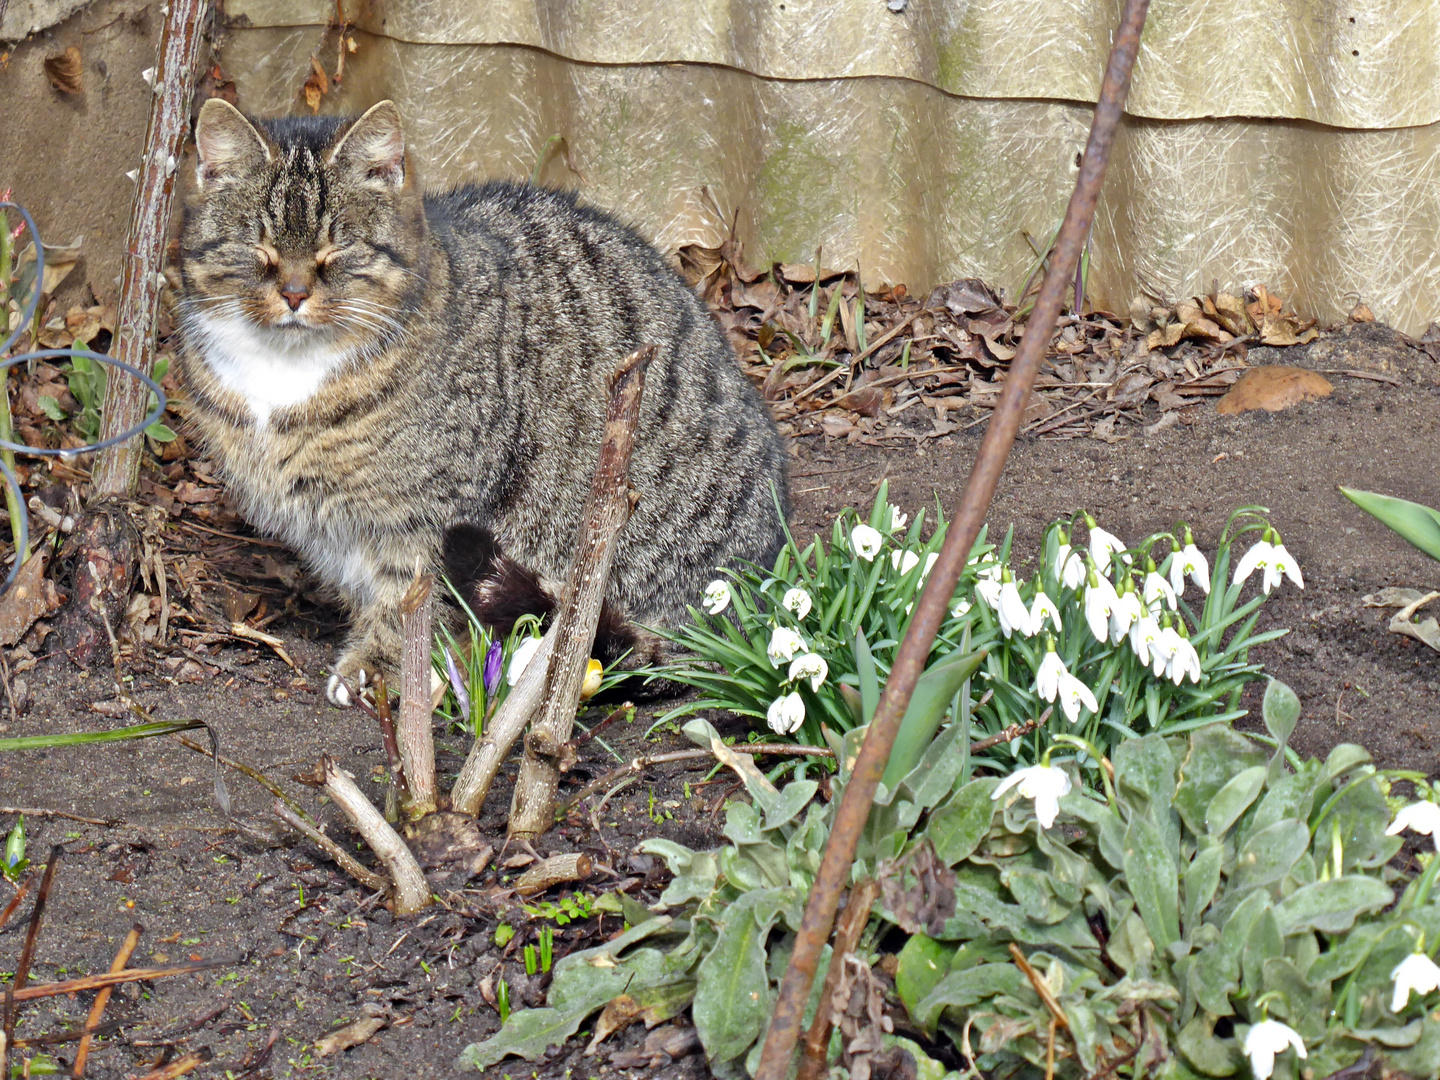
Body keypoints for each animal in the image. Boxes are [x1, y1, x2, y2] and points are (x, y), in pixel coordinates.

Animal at [177, 101, 800, 705]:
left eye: (339, 248)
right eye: (259, 248)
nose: (294, 294)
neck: (286, 374)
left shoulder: (427, 512)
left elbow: (408, 601)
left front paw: (383, 668)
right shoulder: (330, 526)